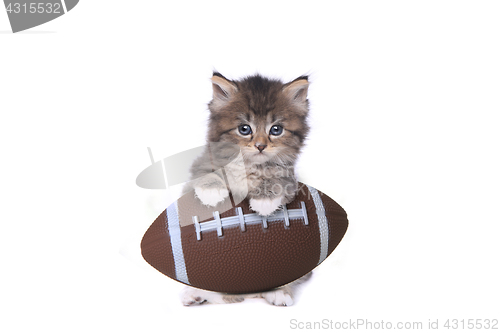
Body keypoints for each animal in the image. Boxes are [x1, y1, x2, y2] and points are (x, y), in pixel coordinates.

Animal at [181, 71, 312, 304]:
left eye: (276, 129)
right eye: (244, 129)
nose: (260, 146)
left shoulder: (290, 178)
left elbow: (278, 180)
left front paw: (264, 201)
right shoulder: (203, 161)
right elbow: (205, 172)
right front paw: (211, 191)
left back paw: (279, 293)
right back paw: (195, 294)